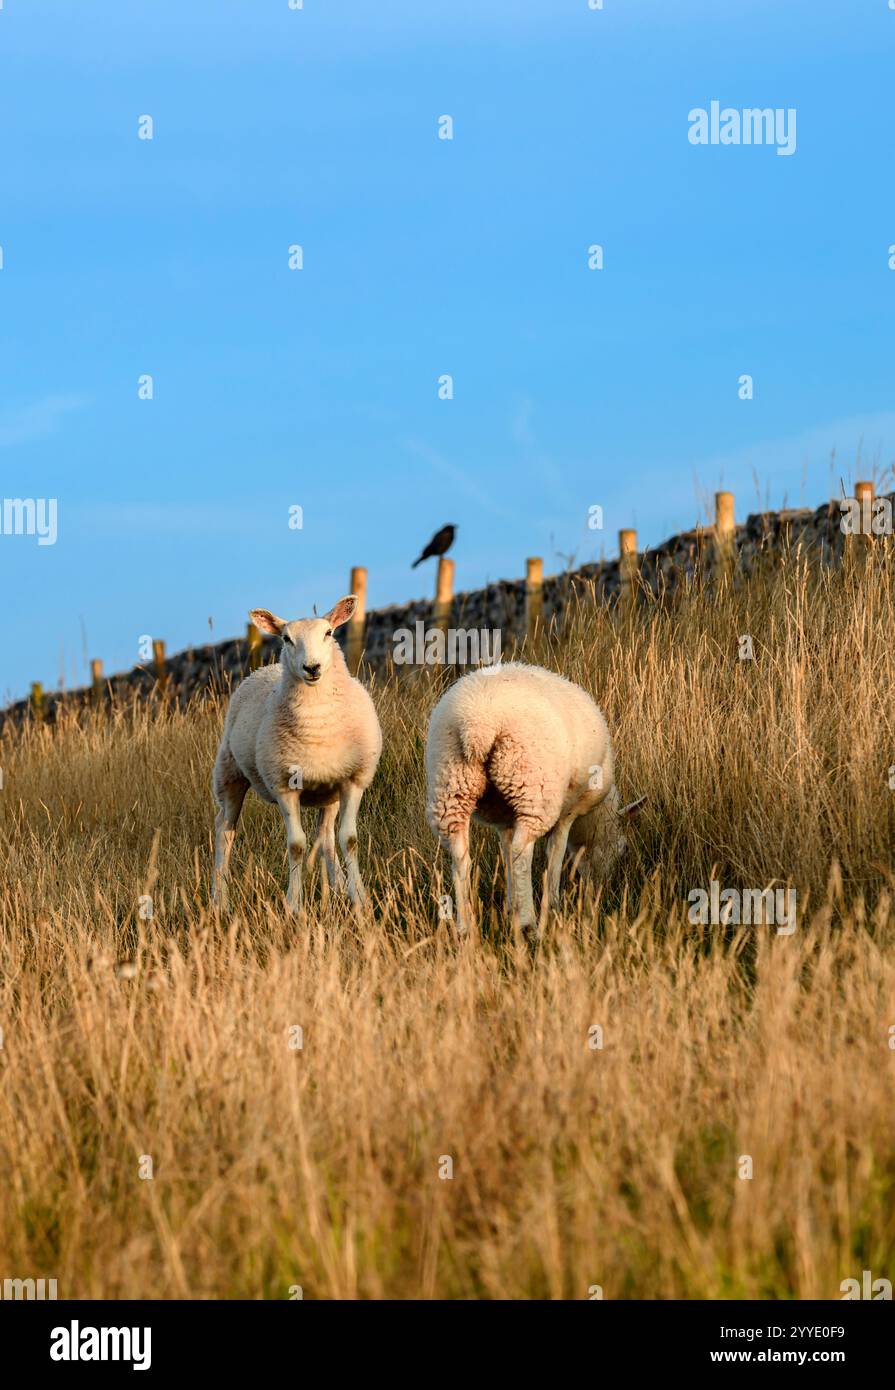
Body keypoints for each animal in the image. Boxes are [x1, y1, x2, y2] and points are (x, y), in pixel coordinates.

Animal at [212, 595, 382, 913]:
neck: (317, 723)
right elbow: (297, 845)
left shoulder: (353, 780)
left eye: (329, 632)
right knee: (224, 832)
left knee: (326, 835)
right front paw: (294, 906)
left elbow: (349, 839)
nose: (311, 667)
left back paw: (338, 888)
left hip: (329, 791)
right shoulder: (283, 787)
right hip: (229, 774)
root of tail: (262, 669)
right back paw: (220, 900)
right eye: (286, 639)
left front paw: (360, 899)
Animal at [425, 662, 644, 936]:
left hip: (450, 784)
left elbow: (506, 852)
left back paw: (465, 927)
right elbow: (554, 855)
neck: (594, 816)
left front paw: (511, 906)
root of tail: (478, 725)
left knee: (460, 854)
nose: (602, 890)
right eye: (623, 849)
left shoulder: (505, 820)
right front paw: (552, 907)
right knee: (522, 851)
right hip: (532, 787)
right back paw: (528, 924)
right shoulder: (566, 813)